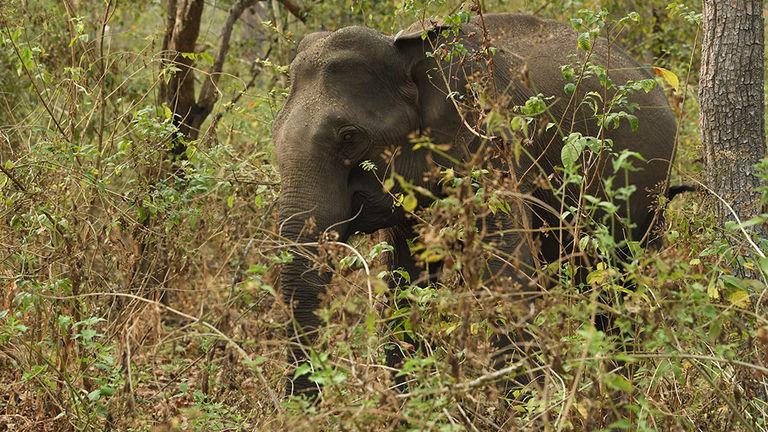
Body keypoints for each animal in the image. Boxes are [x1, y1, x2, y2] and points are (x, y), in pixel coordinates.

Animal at [272, 12, 680, 398]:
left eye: (349, 137)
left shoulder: (491, 144)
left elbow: (508, 277)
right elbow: (407, 284)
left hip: (648, 196)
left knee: (622, 290)